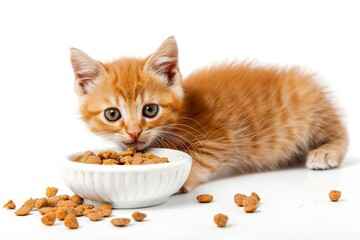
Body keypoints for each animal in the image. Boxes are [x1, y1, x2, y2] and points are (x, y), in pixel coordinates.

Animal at [70, 36, 348, 192]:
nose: (135, 132)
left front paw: (180, 182)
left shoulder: (221, 138)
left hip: (305, 104)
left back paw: (325, 152)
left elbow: (199, 158)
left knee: (340, 132)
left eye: (150, 109)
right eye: (112, 114)